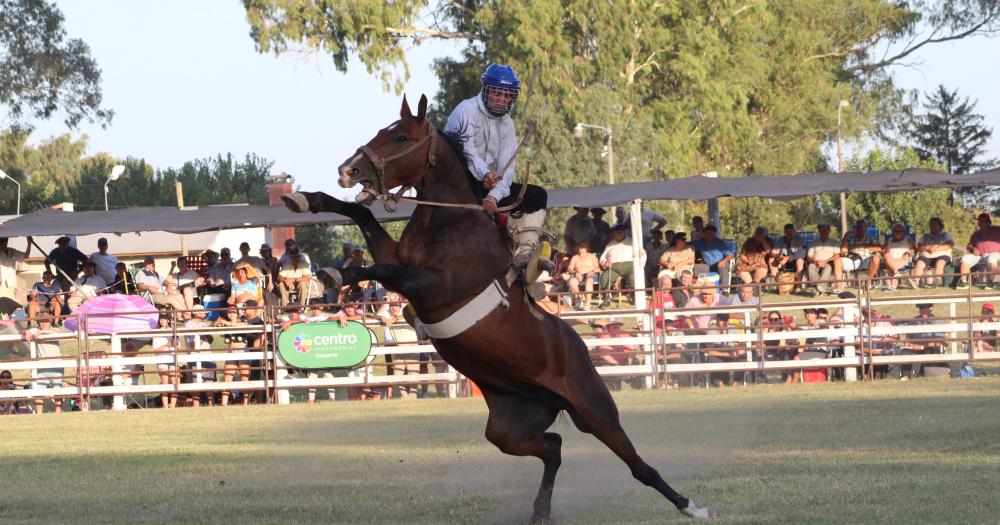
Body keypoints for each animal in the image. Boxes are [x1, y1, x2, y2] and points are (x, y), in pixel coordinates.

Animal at [286, 94, 716, 520]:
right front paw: (304, 199)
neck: (449, 221)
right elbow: (361, 215)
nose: (348, 168)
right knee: (554, 446)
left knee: (637, 465)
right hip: (508, 428)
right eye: (382, 131)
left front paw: (335, 274)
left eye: (402, 137)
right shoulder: (401, 257)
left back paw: (691, 506)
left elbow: (383, 268)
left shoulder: (435, 285)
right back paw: (540, 510)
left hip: (594, 408)